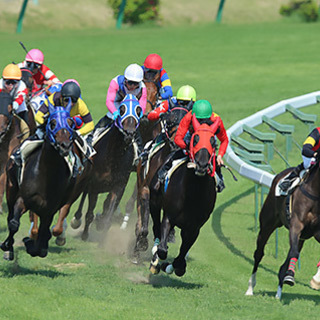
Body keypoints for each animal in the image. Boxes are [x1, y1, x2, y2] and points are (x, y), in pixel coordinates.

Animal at [70, 94, 142, 240]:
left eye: (138, 110)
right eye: (121, 109)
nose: (129, 133)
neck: (114, 157)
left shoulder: (118, 187)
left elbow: (109, 212)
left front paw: (103, 230)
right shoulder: (94, 185)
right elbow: (90, 213)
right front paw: (85, 234)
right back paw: (77, 219)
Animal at [148, 121, 220, 276]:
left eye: (213, 142)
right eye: (195, 139)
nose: (202, 165)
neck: (193, 194)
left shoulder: (194, 228)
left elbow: (181, 259)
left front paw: (171, 266)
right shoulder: (169, 217)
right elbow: (162, 250)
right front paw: (160, 261)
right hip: (154, 200)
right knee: (156, 226)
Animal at [245, 154, 320, 298]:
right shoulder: (296, 224)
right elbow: (294, 252)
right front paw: (291, 277)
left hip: (301, 237)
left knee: (284, 263)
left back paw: (278, 293)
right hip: (267, 224)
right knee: (259, 254)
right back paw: (250, 288)